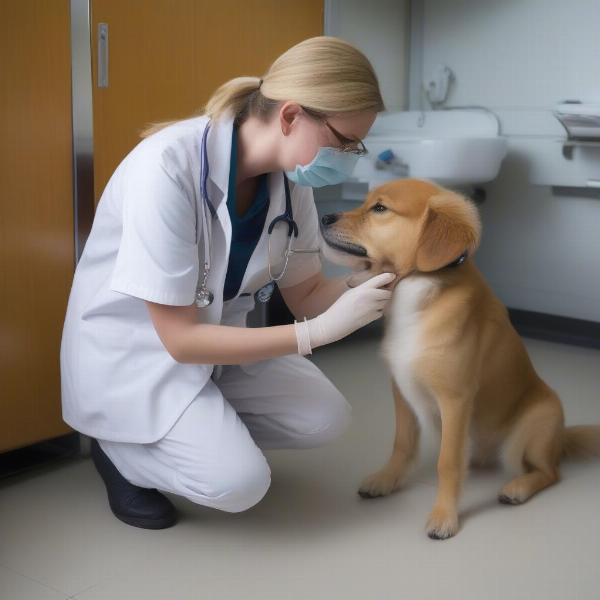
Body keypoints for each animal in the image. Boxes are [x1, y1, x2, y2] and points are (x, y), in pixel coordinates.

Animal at [318, 177, 600, 540]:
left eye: (379, 208)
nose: (324, 217)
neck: (414, 290)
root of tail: (561, 437)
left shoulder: (455, 400)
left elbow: (447, 463)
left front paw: (444, 516)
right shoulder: (401, 391)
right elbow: (402, 444)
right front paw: (387, 479)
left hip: (531, 431)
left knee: (550, 472)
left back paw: (518, 488)